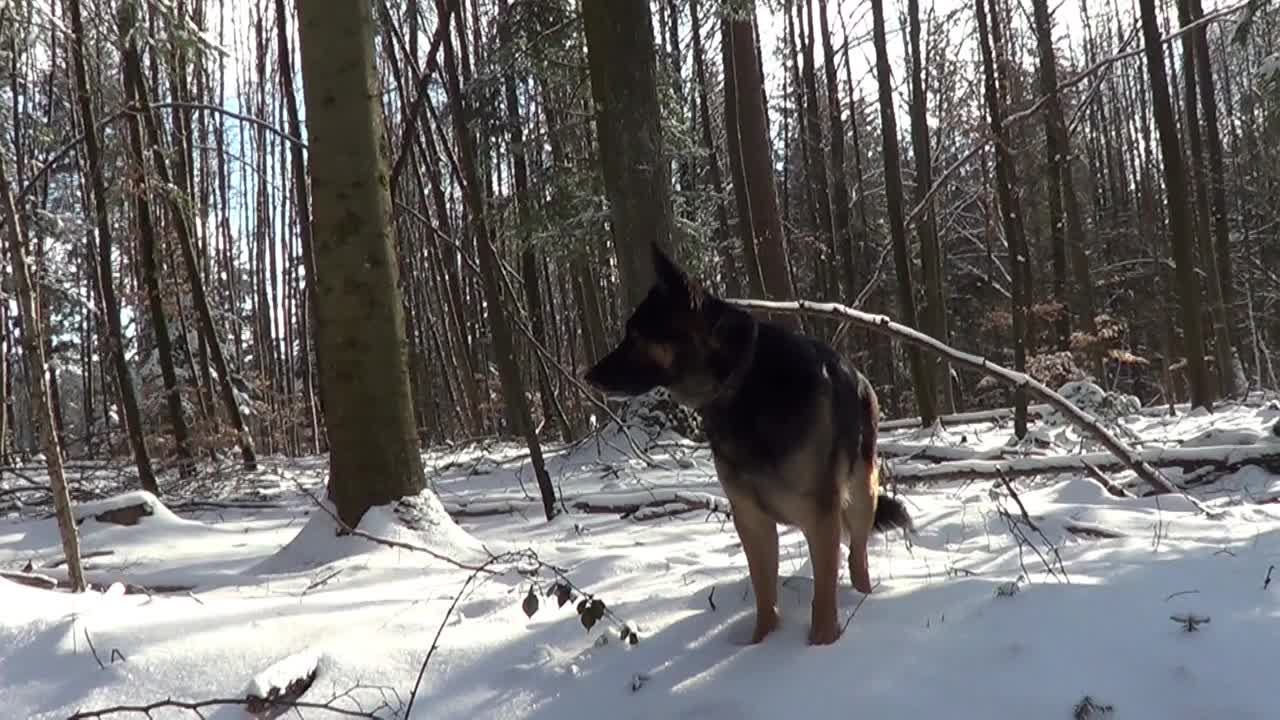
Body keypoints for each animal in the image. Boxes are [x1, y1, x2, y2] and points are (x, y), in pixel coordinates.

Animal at [586, 244, 916, 645]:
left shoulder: (819, 513)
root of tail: (863, 380)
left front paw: (821, 646)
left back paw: (864, 597)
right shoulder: (752, 521)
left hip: (860, 493)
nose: (587, 376)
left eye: (635, 335)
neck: (741, 385)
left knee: (857, 556)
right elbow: (765, 595)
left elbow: (822, 597)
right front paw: (761, 644)